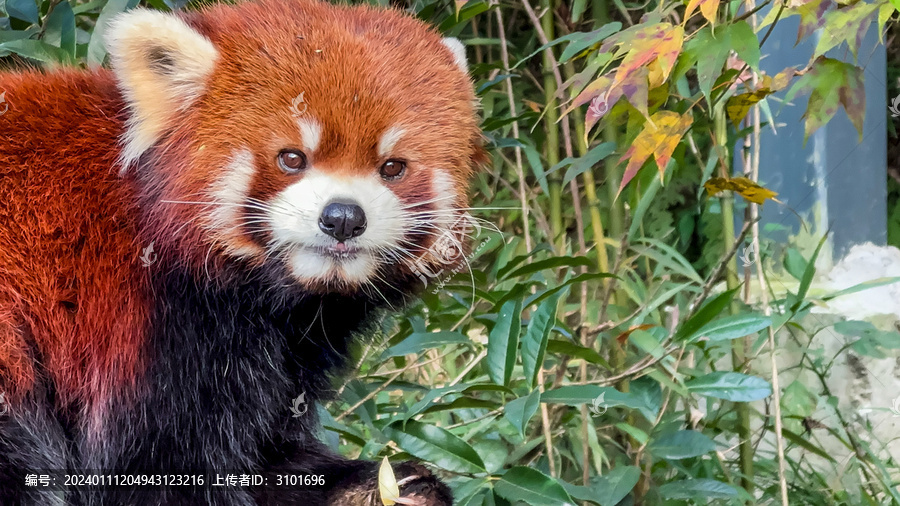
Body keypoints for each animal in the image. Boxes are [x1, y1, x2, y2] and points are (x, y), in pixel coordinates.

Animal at [0, 1, 486, 504]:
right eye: (291, 158)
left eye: (392, 167)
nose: (343, 218)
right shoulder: (139, 328)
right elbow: (158, 471)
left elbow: (273, 458)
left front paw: (387, 485)